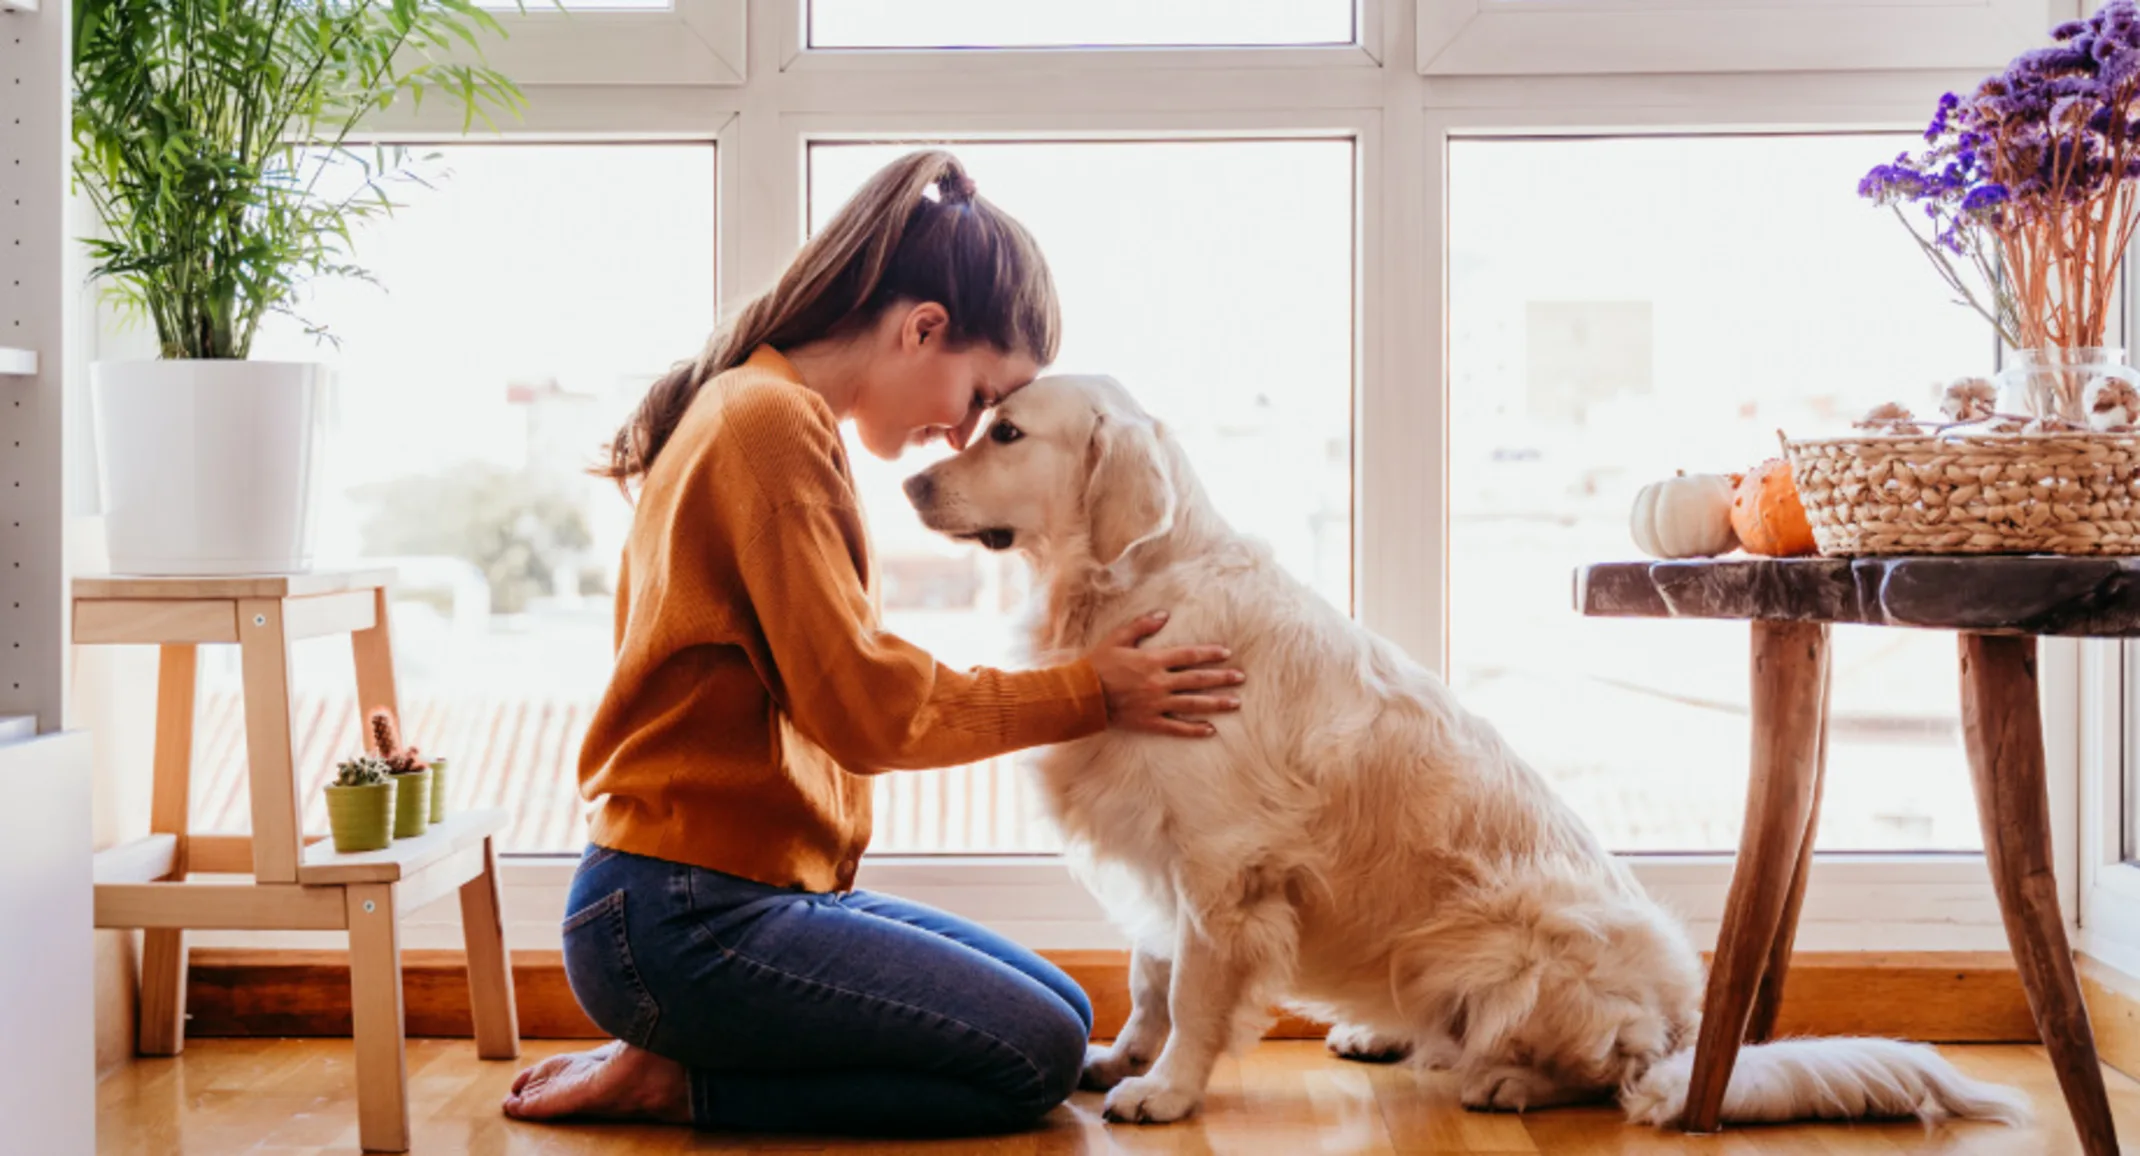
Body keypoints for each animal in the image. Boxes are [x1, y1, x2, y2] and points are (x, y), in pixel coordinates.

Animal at [894, 376, 2028, 1130]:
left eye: (1005, 432)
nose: (907, 486)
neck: (1129, 589)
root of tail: (1684, 1029)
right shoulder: (1158, 849)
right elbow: (1149, 972)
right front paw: (1120, 1054)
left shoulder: (1221, 863)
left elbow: (1198, 992)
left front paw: (1164, 1088)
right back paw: (1383, 1032)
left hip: (1509, 943)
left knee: (1604, 1073)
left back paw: (1505, 1079)